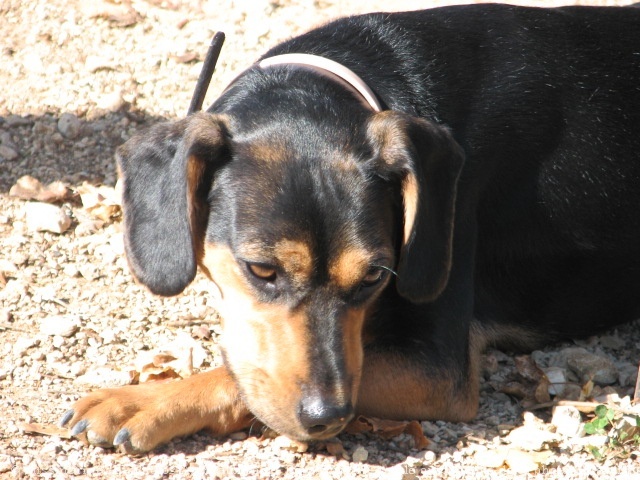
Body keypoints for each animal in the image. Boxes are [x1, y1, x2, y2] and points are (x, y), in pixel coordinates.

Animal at [60, 4, 640, 454]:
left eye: (374, 278)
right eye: (261, 270)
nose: (329, 417)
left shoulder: (435, 369)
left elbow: (241, 376)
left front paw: (145, 401)